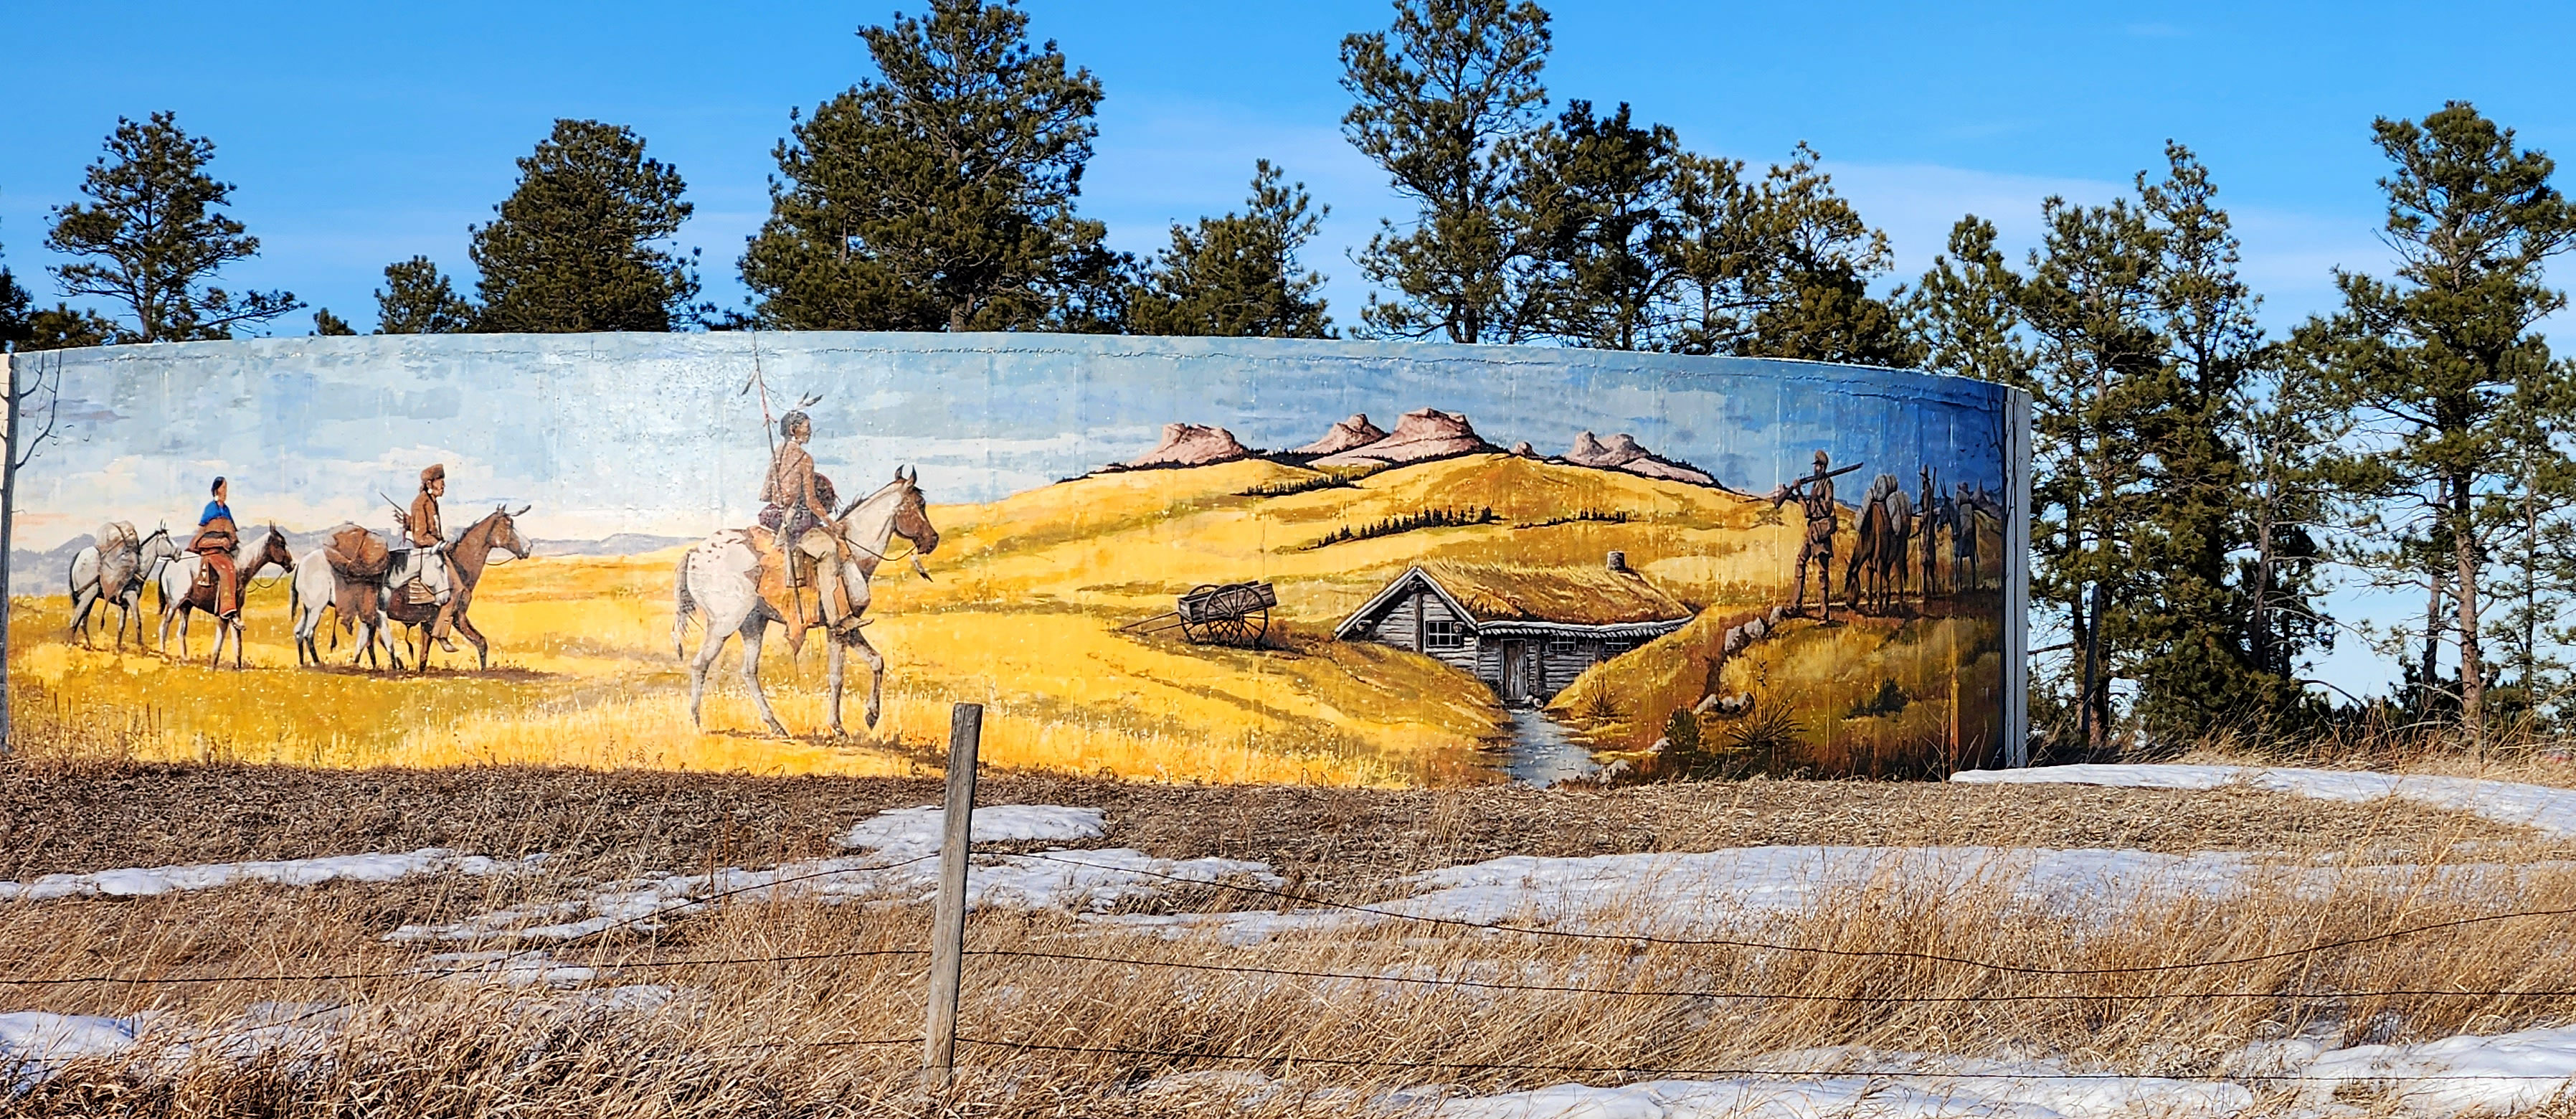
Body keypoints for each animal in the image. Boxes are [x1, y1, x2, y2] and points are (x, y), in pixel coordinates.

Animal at [154, 523, 295, 665]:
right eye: (281, 543)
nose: (293, 564)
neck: (240, 565)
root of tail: (167, 566)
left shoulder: (236, 613)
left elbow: (237, 645)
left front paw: (238, 667)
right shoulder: (225, 615)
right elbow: (220, 643)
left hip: (185, 607)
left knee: (181, 632)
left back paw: (185, 659)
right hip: (173, 605)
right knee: (163, 627)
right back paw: (164, 656)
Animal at [379, 508, 530, 675]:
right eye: (509, 524)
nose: (528, 548)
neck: (459, 565)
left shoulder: (446, 618)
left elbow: (479, 642)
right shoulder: (452, 616)